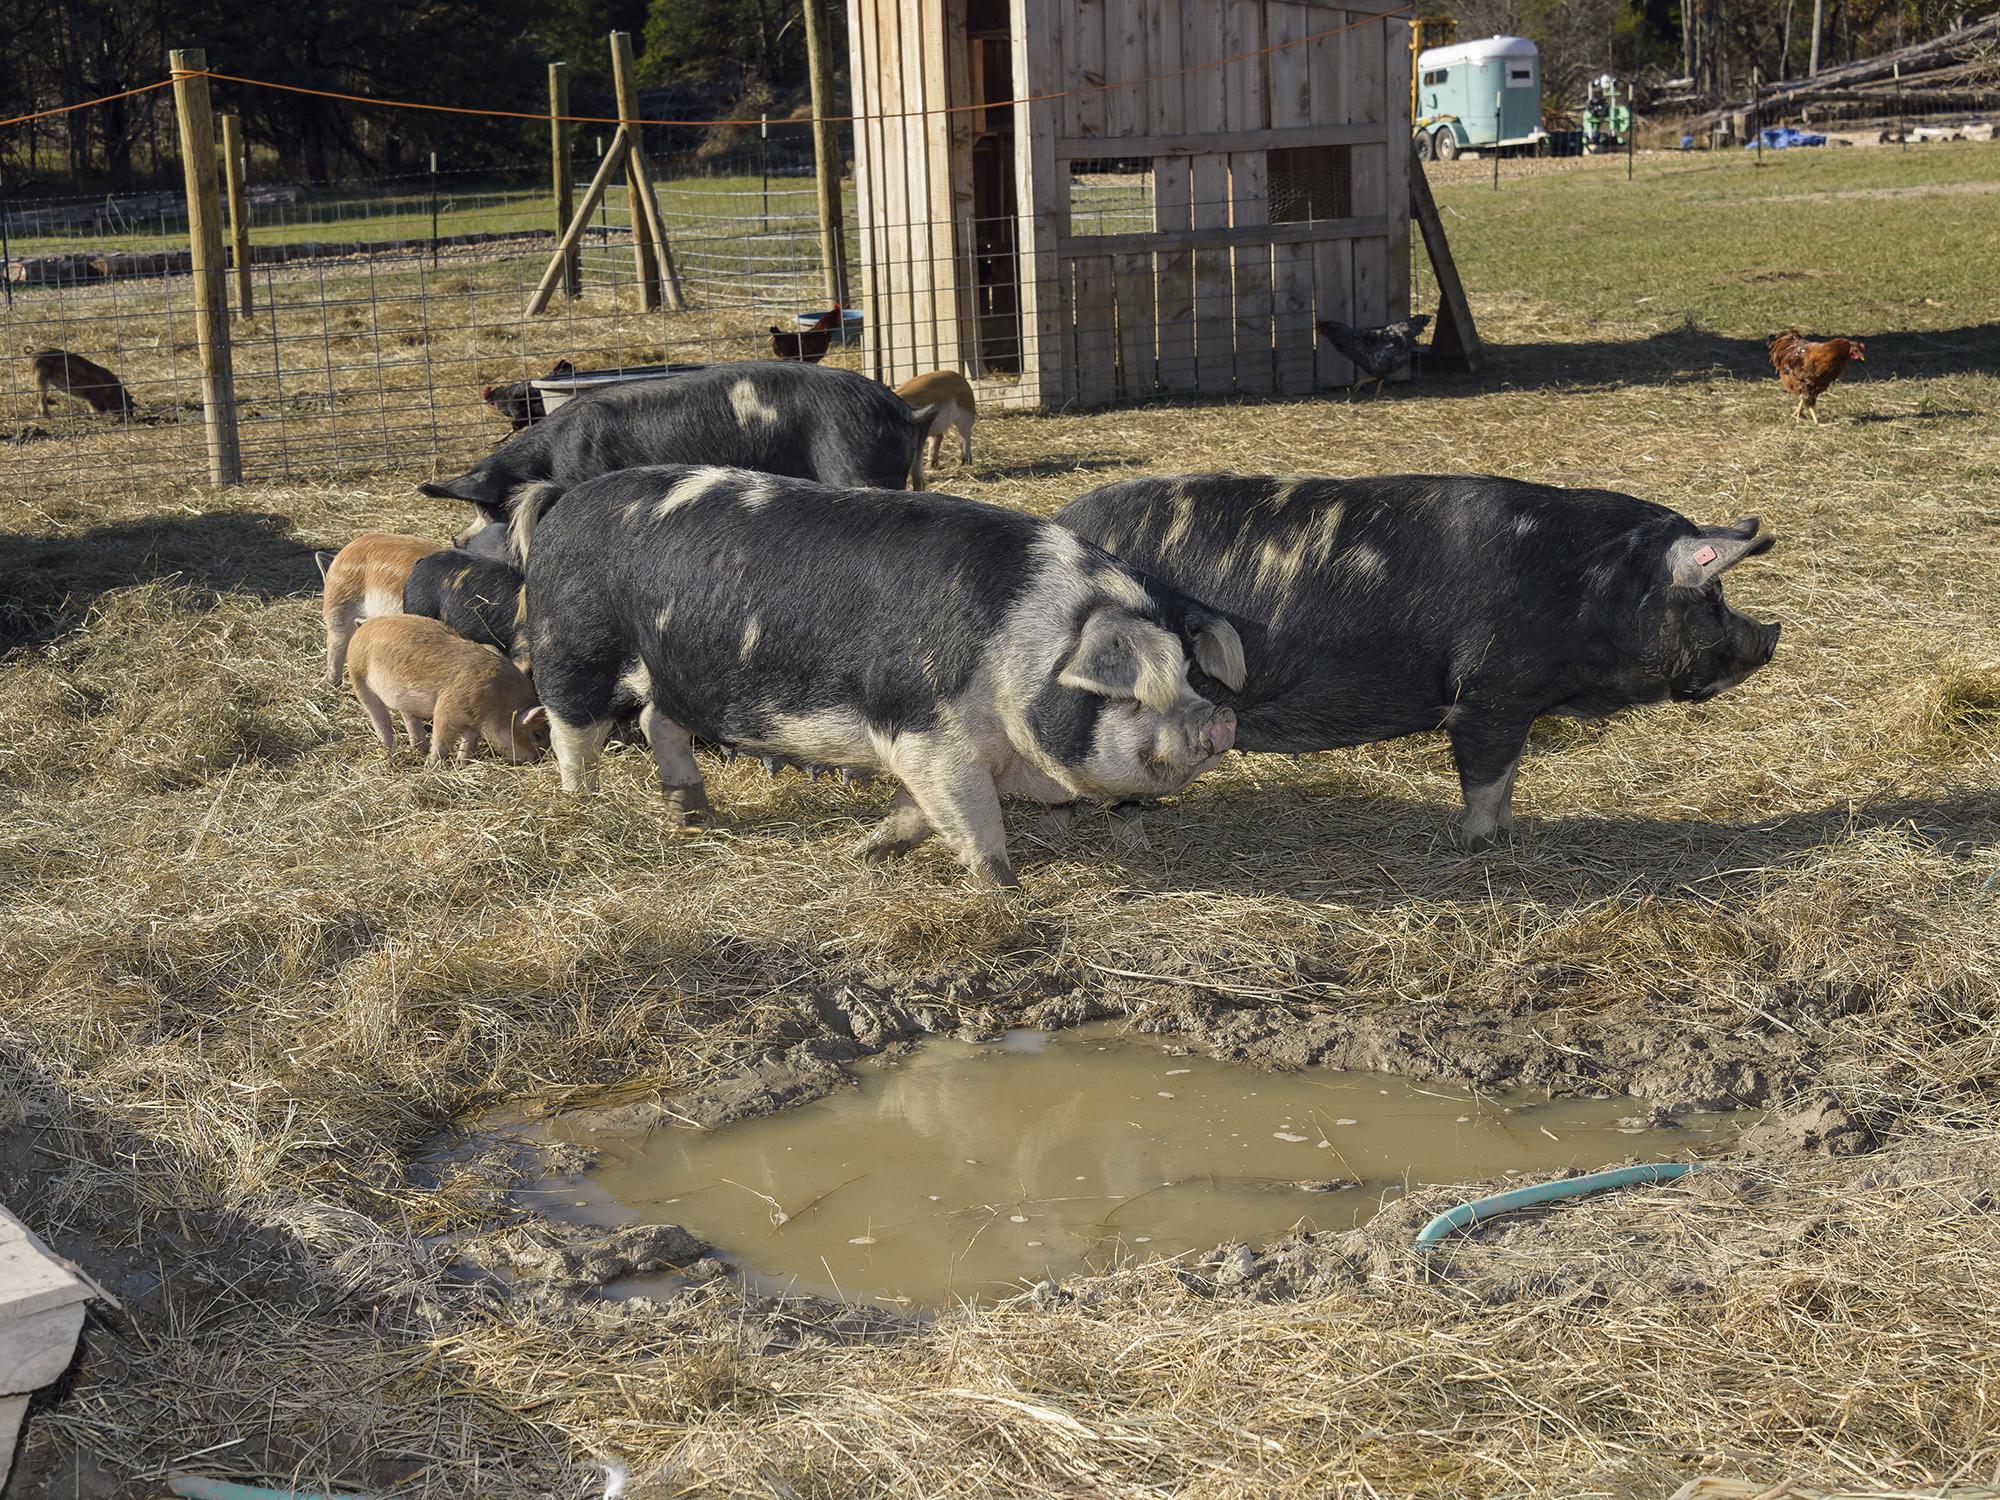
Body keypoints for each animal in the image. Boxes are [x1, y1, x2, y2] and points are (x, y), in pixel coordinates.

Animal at [524, 470, 1240, 888]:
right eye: (1138, 692)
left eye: (1195, 676)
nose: (1221, 718)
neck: (1019, 653)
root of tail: (564, 498)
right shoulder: (926, 733)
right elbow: (973, 818)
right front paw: (1003, 890)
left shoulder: (926, 753)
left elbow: (917, 813)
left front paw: (865, 855)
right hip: (575, 645)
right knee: (572, 730)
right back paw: (582, 802)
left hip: (674, 671)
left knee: (656, 719)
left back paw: (692, 813)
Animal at [1056, 472, 1792, 848]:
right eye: (1712, 595)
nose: (1772, 636)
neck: (1589, 588)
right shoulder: (1487, 692)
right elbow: (1486, 775)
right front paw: (1481, 844)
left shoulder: (1514, 702)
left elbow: (1512, 775)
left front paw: (1511, 833)